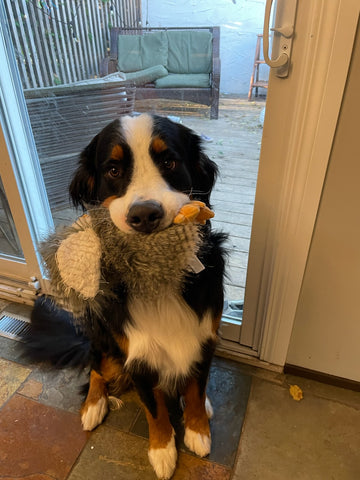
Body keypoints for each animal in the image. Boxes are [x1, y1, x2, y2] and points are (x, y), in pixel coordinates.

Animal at [28, 113, 225, 480]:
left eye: (169, 161)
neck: (157, 273)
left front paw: (197, 430)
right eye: (114, 170)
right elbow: (153, 408)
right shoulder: (136, 353)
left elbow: (196, 388)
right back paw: (93, 406)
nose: (144, 215)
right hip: (103, 338)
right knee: (96, 368)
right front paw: (162, 450)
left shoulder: (205, 336)